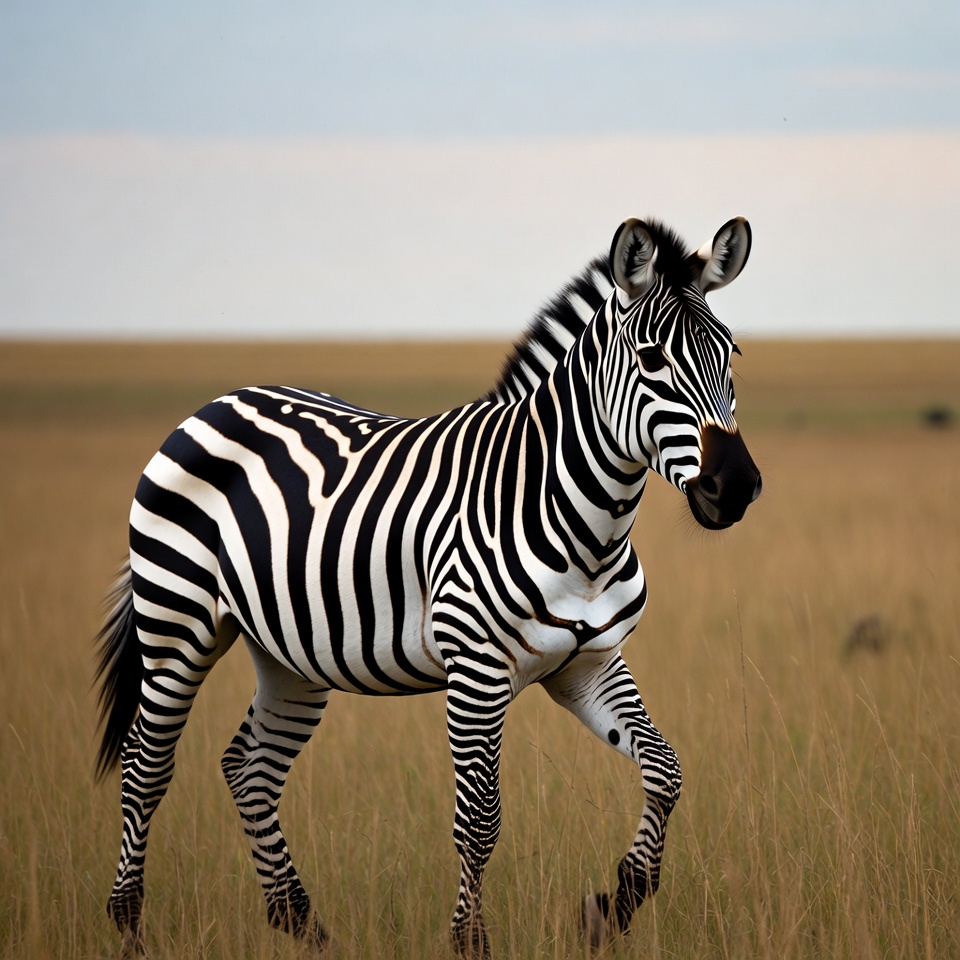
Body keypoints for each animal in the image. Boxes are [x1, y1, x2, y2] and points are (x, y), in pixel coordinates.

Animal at [95, 215, 761, 957]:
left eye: (732, 354)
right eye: (650, 359)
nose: (736, 486)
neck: (575, 519)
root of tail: (216, 403)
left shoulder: (588, 664)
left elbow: (666, 771)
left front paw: (613, 905)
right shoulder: (478, 671)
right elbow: (480, 818)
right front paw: (470, 942)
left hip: (289, 654)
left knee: (249, 767)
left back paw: (302, 924)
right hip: (176, 624)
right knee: (145, 767)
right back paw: (130, 928)